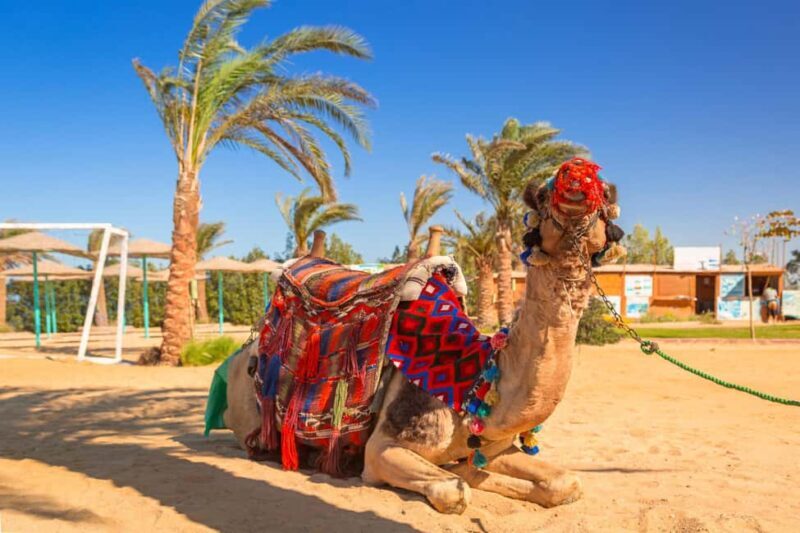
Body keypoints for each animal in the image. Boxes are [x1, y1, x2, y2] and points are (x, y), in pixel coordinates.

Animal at [221, 159, 622, 514]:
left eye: (607, 194)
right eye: (541, 194)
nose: (576, 175)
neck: (474, 383)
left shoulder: (492, 446)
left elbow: (566, 482)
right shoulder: (382, 448)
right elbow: (456, 489)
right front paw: (463, 476)